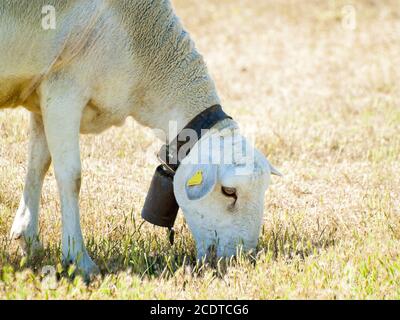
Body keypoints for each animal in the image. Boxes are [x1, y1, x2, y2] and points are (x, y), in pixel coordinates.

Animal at [0, 0, 282, 278]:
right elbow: (71, 178)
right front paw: (79, 259)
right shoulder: (64, 90)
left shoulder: (42, 94)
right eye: (229, 191)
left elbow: (38, 164)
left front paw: (28, 238)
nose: (242, 259)